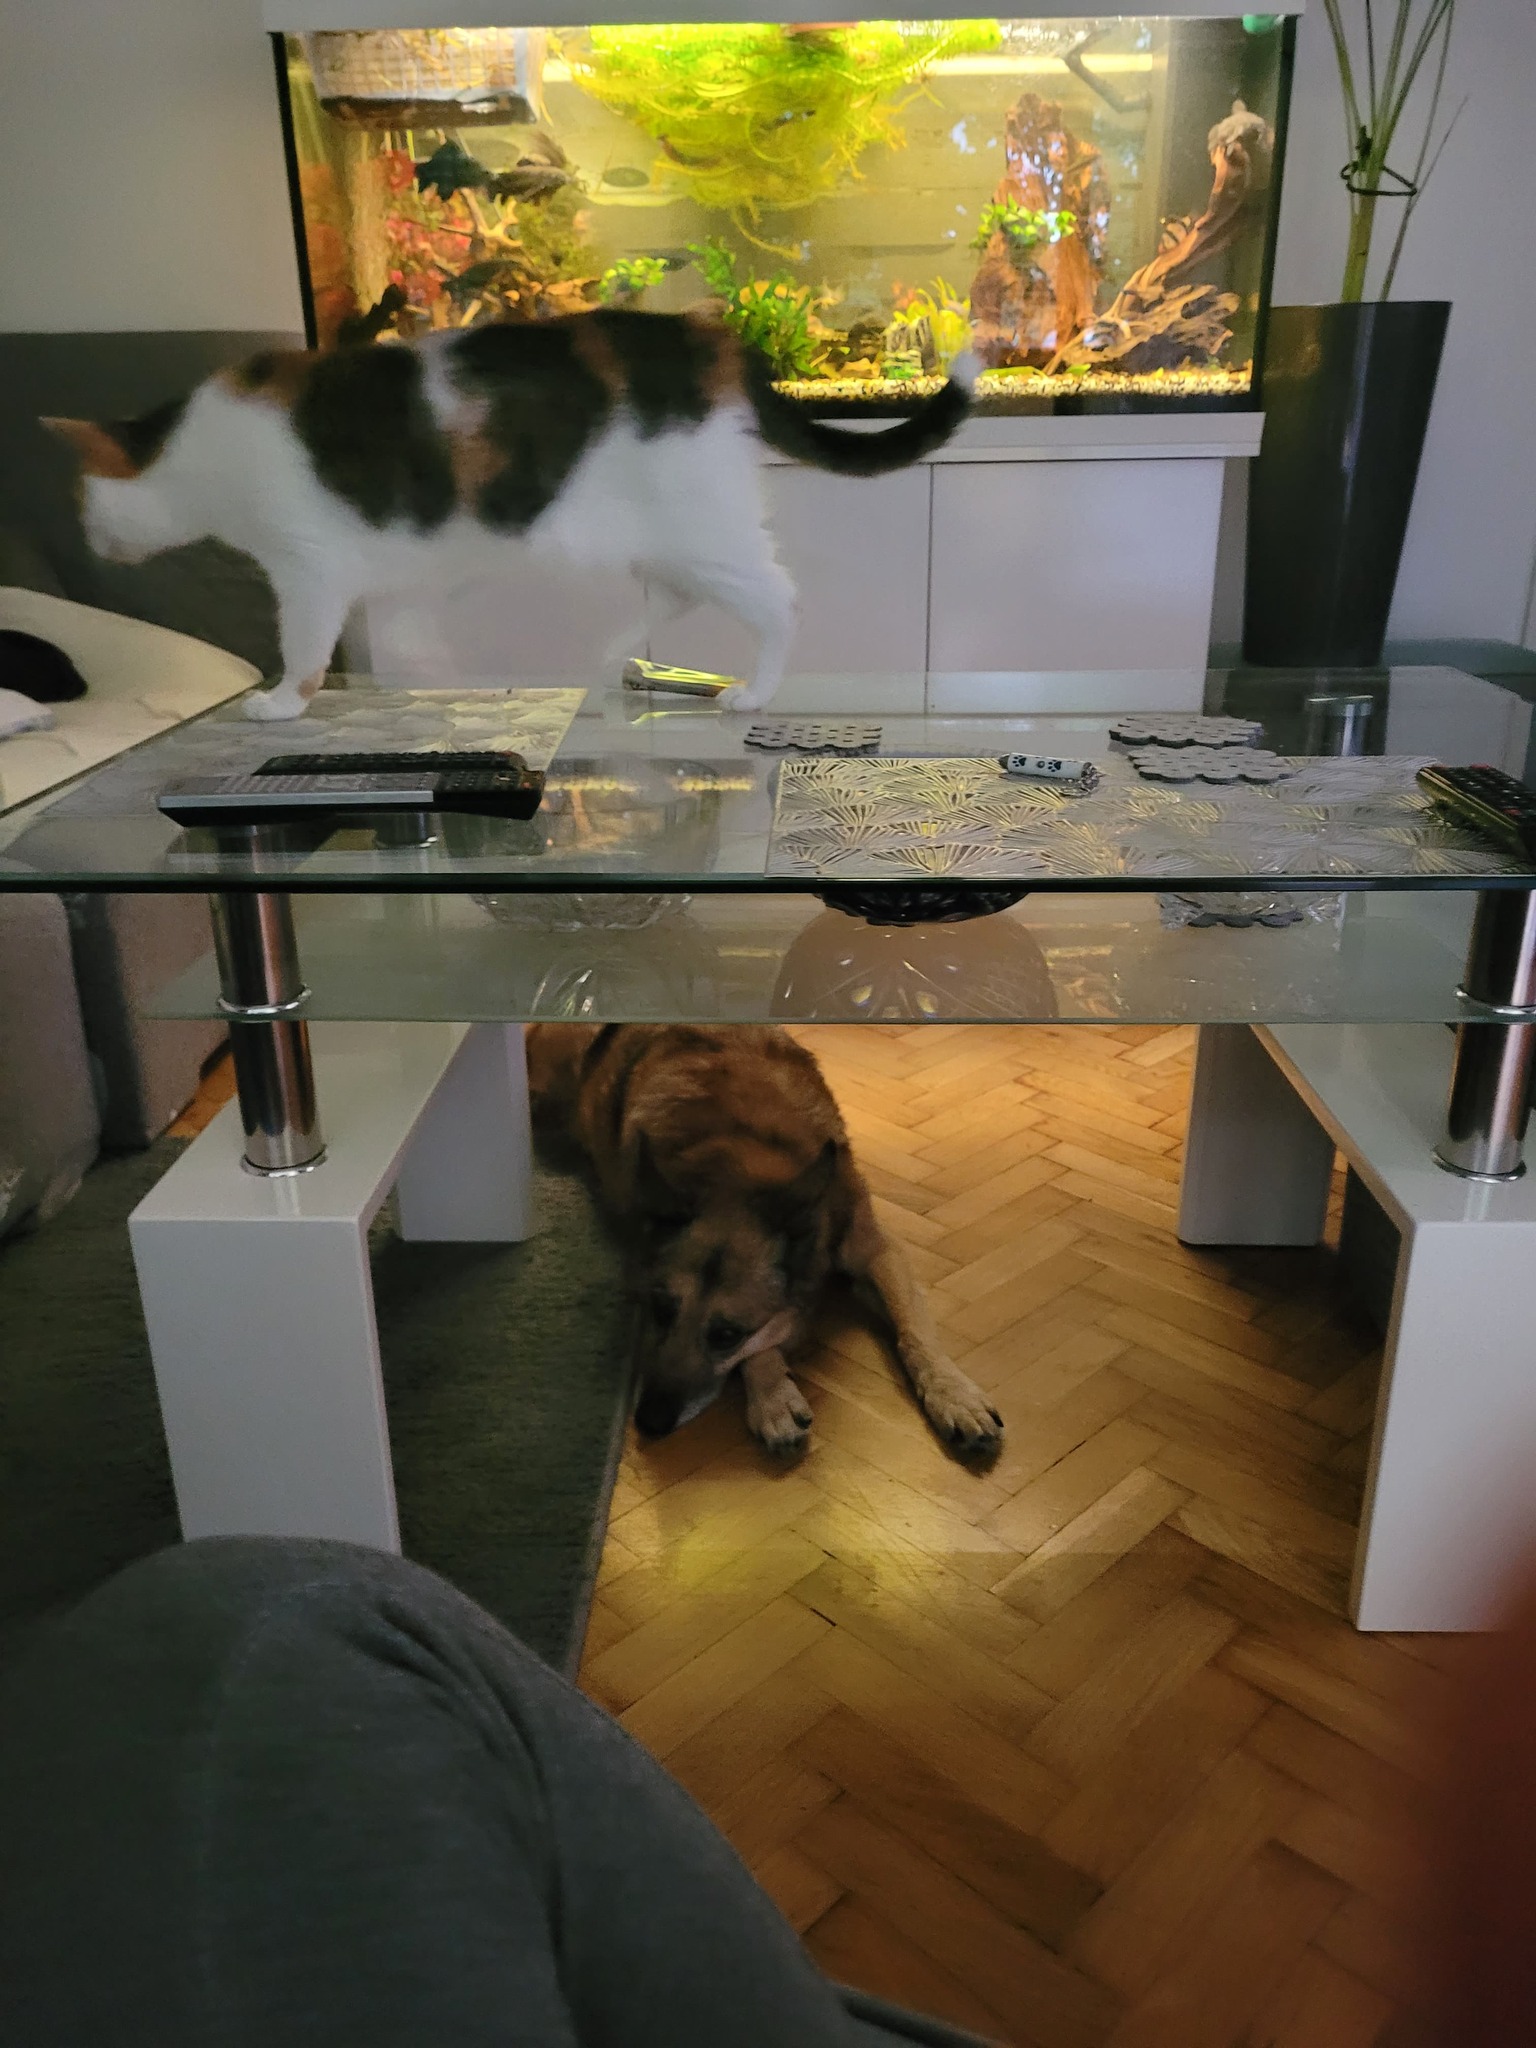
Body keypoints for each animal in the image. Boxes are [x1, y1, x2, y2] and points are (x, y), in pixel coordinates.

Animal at [45, 311, 976, 720]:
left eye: (81, 497)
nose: (85, 542)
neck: (194, 445)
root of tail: (713, 337)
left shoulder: (308, 570)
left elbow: (304, 649)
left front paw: (280, 703)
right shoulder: (394, 569)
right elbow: (410, 636)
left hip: (697, 526)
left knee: (778, 599)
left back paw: (750, 693)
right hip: (652, 539)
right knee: (679, 599)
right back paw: (617, 656)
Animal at [527, 1023, 1004, 1455]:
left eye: (726, 1334)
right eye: (660, 1311)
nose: (649, 1423)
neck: (740, 1157)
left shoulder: (876, 1251)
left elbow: (914, 1331)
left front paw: (953, 1395)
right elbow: (768, 1340)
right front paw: (773, 1396)